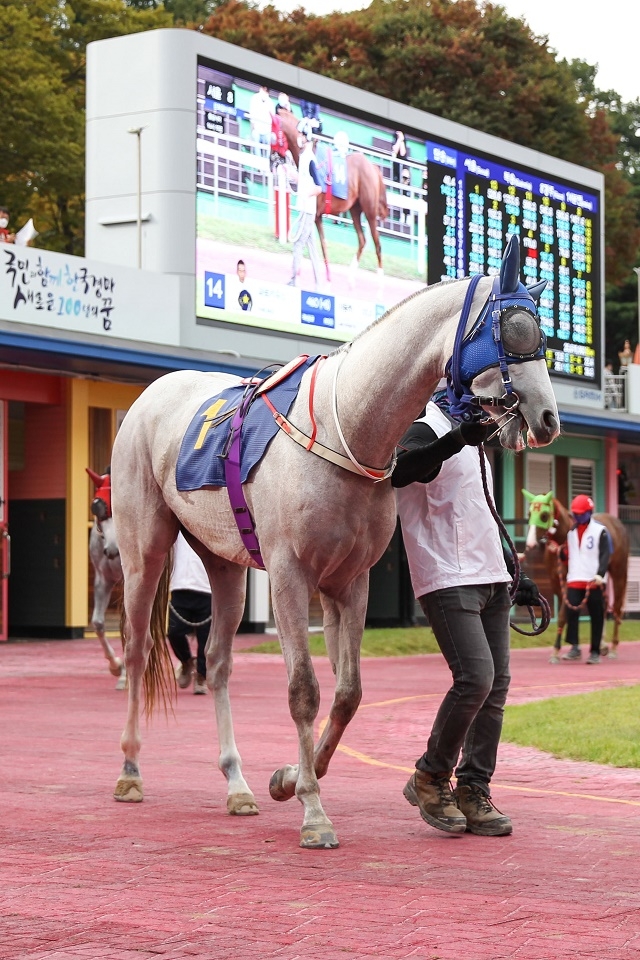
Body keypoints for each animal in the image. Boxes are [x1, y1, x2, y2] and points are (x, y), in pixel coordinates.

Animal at [278, 110, 390, 282]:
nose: (274, 158)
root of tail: (373, 167)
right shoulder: (315, 216)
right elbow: (316, 245)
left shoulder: (315, 214)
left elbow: (318, 245)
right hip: (355, 210)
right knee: (362, 240)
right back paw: (350, 279)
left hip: (370, 212)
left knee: (377, 245)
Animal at [524, 496, 632, 660]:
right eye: (529, 514)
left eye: (544, 515)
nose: (530, 543)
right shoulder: (557, 583)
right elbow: (569, 611)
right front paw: (574, 649)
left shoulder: (568, 581)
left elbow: (564, 614)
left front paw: (556, 651)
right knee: (603, 605)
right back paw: (602, 645)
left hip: (619, 571)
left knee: (617, 606)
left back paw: (613, 647)